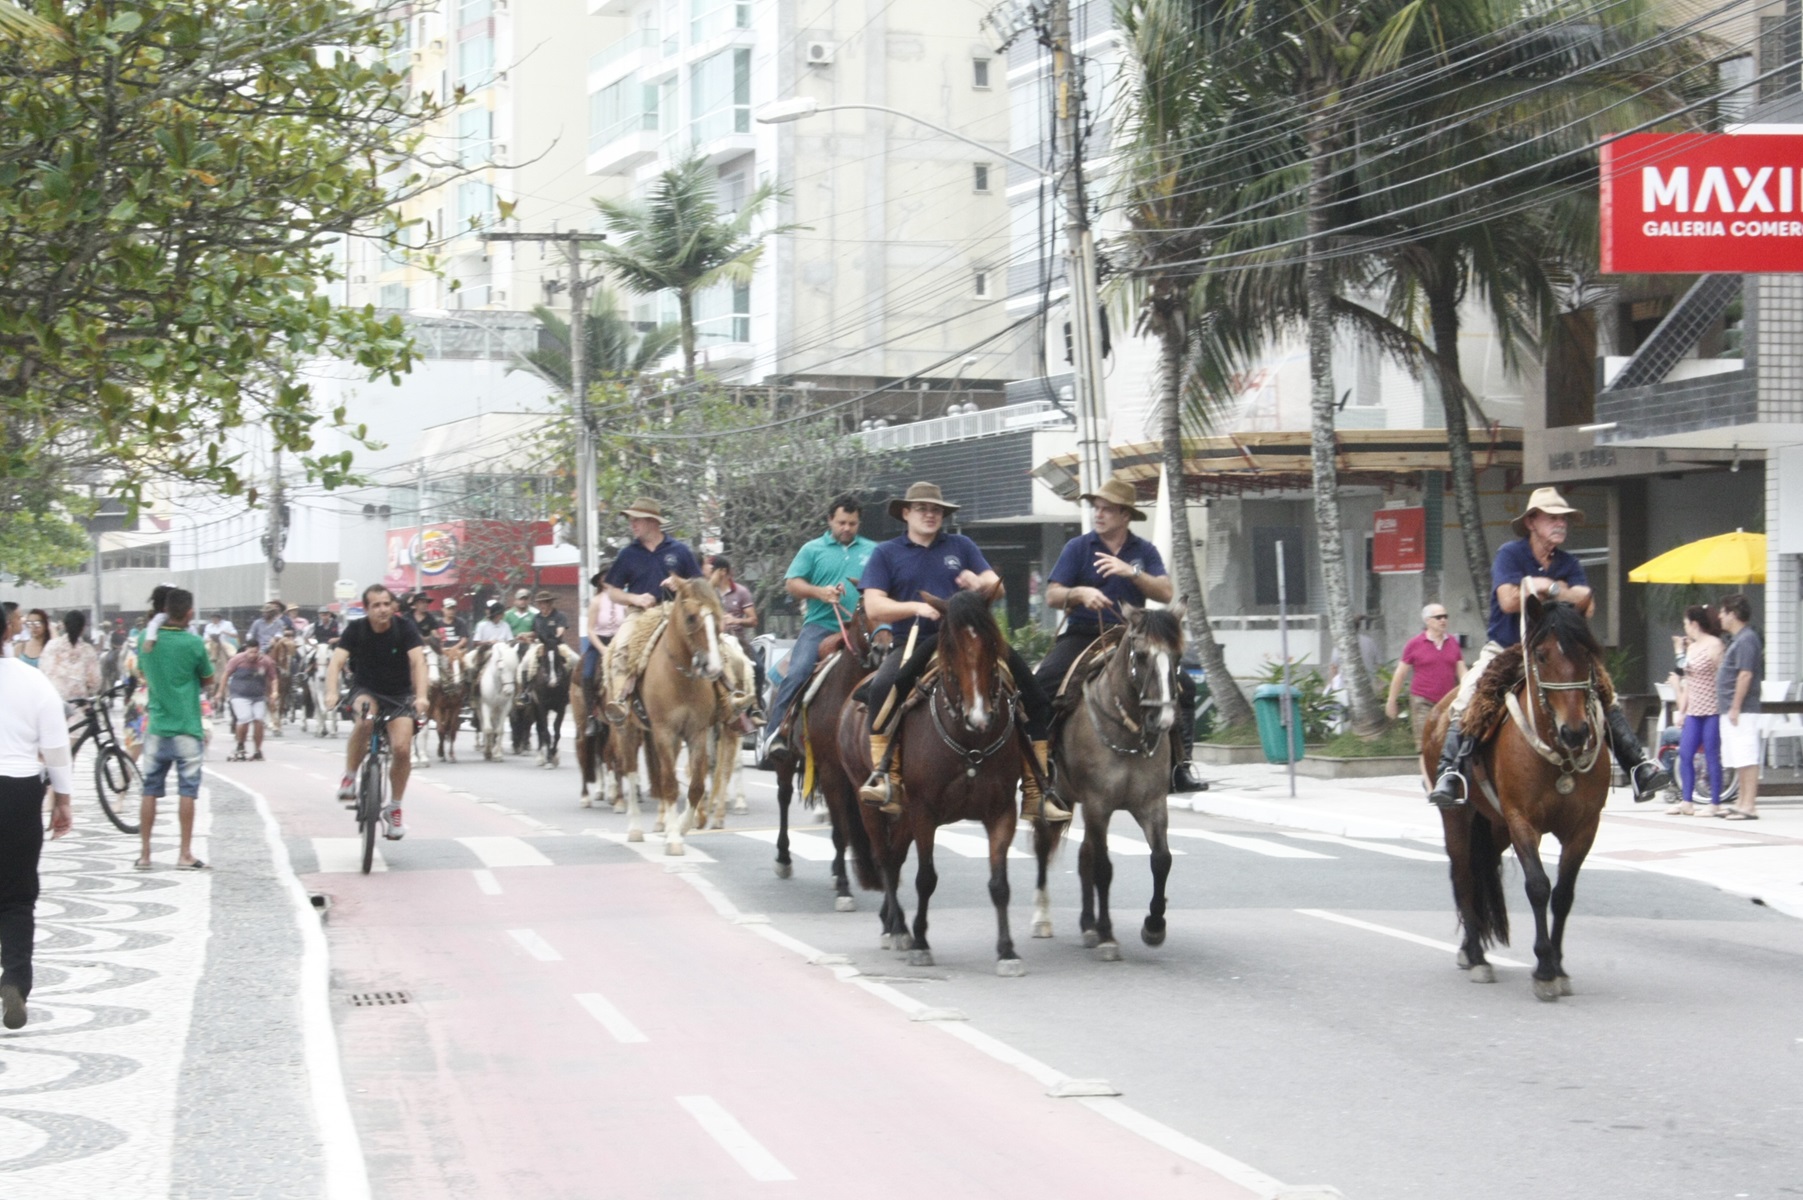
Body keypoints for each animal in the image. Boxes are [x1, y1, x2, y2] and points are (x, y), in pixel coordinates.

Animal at [627, 576, 724, 850]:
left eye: (718, 614)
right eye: (691, 617)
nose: (714, 668)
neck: (680, 679)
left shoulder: (697, 732)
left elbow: (696, 786)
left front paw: (681, 827)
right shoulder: (664, 732)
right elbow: (670, 784)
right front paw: (672, 839)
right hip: (628, 729)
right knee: (629, 772)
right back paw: (635, 827)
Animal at [771, 598, 890, 908]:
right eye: (863, 609)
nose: (882, 649)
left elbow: (848, 827)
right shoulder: (831, 770)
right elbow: (838, 832)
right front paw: (845, 889)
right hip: (788, 761)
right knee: (783, 798)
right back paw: (784, 858)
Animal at [832, 587, 1024, 972]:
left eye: (993, 643)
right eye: (948, 648)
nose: (980, 716)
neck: (970, 740)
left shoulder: (1002, 811)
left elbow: (999, 883)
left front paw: (1007, 950)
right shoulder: (925, 812)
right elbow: (926, 878)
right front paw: (920, 941)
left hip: (903, 813)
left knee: (895, 857)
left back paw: (891, 922)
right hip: (869, 802)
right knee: (884, 858)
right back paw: (897, 929)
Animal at [1031, 601, 1182, 958]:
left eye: (1179, 657)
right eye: (1141, 655)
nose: (1163, 719)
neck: (1127, 730)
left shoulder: (1152, 805)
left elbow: (1161, 860)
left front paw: (1154, 926)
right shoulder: (1098, 805)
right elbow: (1104, 867)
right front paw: (1108, 934)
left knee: (1083, 855)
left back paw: (1087, 924)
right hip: (1053, 796)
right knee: (1044, 846)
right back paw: (1043, 918)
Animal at [1427, 590, 1615, 1001]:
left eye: (1587, 653)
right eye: (1541, 655)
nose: (1576, 732)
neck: (1558, 755)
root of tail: (1438, 710)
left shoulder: (1584, 828)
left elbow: (1563, 894)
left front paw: (1558, 966)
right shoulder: (1521, 821)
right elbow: (1538, 886)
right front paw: (1543, 969)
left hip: (1494, 827)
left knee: (1479, 872)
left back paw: (1468, 949)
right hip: (1458, 818)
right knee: (1464, 875)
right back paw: (1478, 957)